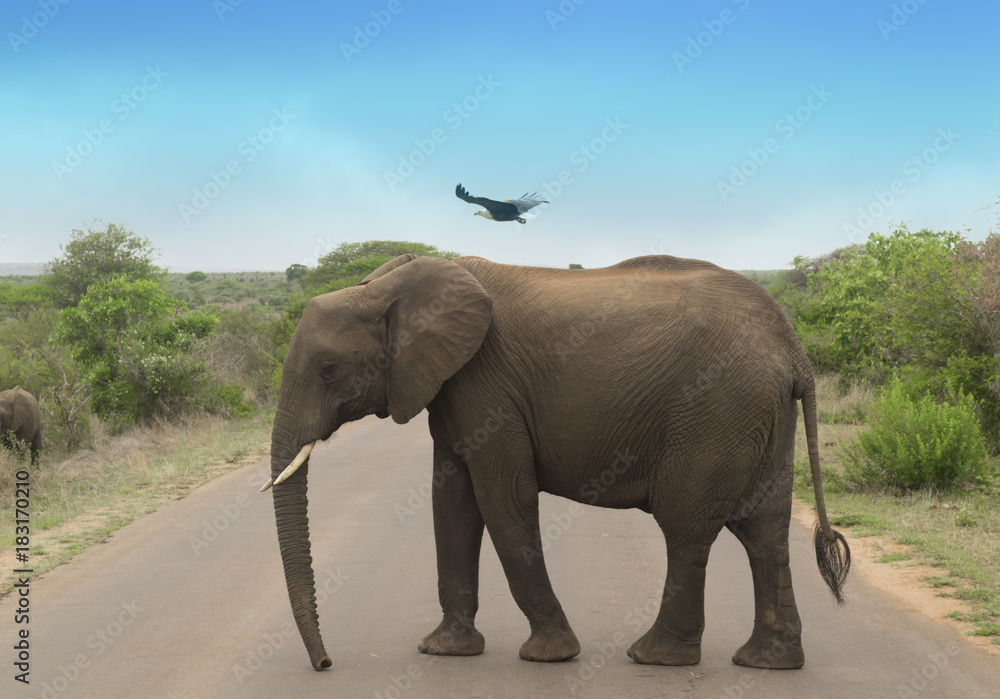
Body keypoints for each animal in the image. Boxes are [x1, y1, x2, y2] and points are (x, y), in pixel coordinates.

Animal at [264, 253, 850, 673]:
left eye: (327, 369)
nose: (325, 663)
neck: (385, 287)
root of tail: (793, 349)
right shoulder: (449, 387)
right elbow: (451, 503)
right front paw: (444, 650)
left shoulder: (486, 383)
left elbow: (501, 498)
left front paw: (551, 654)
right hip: (760, 410)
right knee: (764, 528)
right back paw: (769, 663)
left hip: (716, 407)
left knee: (687, 525)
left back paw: (655, 657)